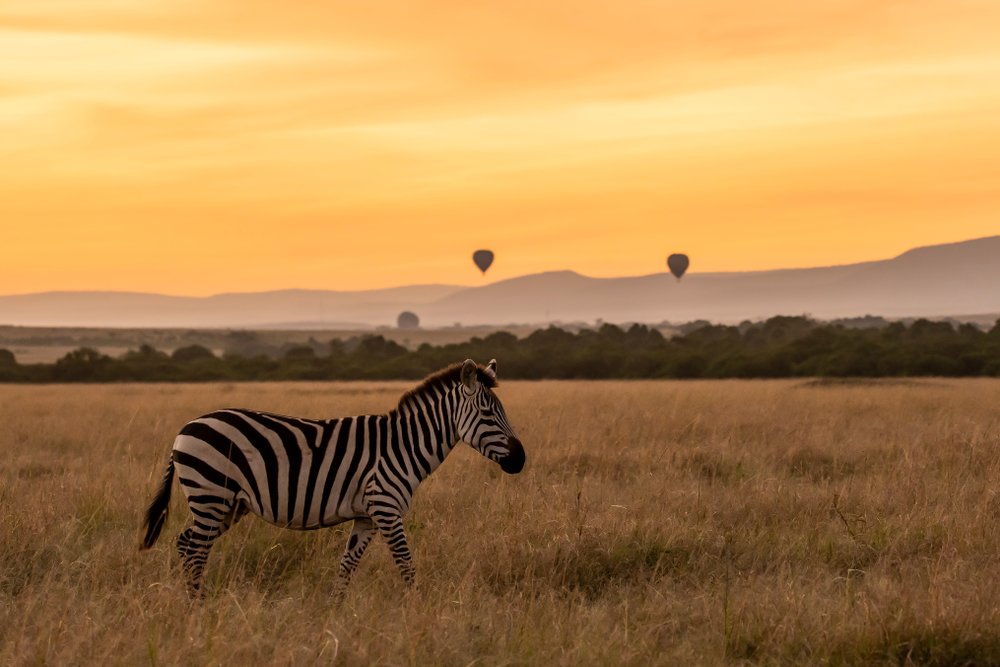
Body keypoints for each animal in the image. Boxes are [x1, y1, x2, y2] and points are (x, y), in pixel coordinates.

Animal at [139, 358, 524, 596]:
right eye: (488, 413)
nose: (521, 459)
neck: (403, 446)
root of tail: (185, 427)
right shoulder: (386, 508)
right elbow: (406, 564)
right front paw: (418, 612)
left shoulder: (367, 516)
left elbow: (347, 565)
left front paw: (335, 613)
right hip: (211, 494)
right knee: (195, 549)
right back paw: (197, 607)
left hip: (227, 503)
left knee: (187, 543)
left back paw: (195, 602)